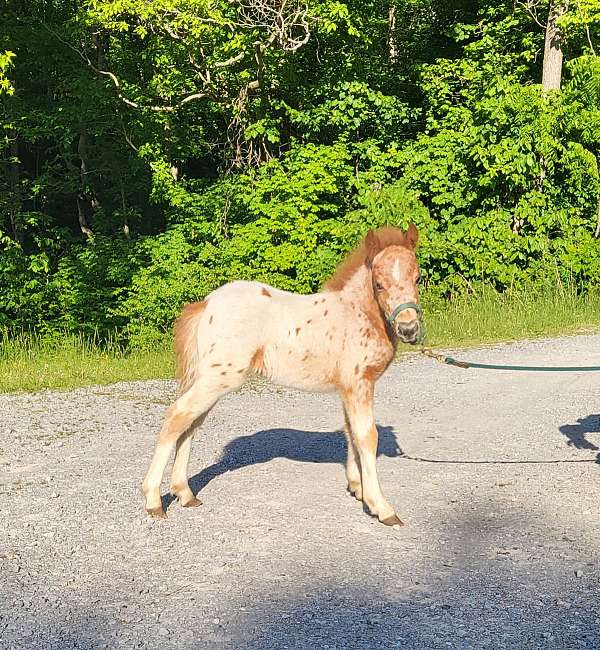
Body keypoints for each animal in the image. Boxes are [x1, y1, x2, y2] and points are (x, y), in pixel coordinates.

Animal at [142, 224, 422, 526]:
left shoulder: (348, 388)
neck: (355, 313)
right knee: (178, 415)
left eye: (418, 278)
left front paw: (356, 487)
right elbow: (366, 436)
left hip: (210, 380)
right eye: (378, 284)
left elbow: (350, 433)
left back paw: (184, 493)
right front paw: (381, 506)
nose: (409, 329)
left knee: (191, 424)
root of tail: (205, 304)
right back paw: (154, 500)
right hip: (218, 379)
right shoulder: (359, 383)